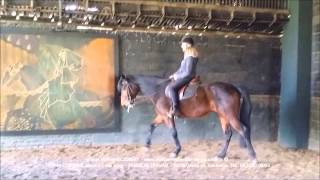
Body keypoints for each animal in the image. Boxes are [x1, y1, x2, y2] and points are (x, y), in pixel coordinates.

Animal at [116, 74, 256, 160]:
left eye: (124, 86)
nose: (123, 104)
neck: (159, 90)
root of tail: (234, 87)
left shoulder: (168, 117)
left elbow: (173, 133)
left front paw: (176, 151)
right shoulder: (162, 116)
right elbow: (151, 126)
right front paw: (146, 145)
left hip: (230, 115)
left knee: (243, 130)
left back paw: (253, 156)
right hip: (223, 116)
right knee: (228, 134)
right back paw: (220, 155)